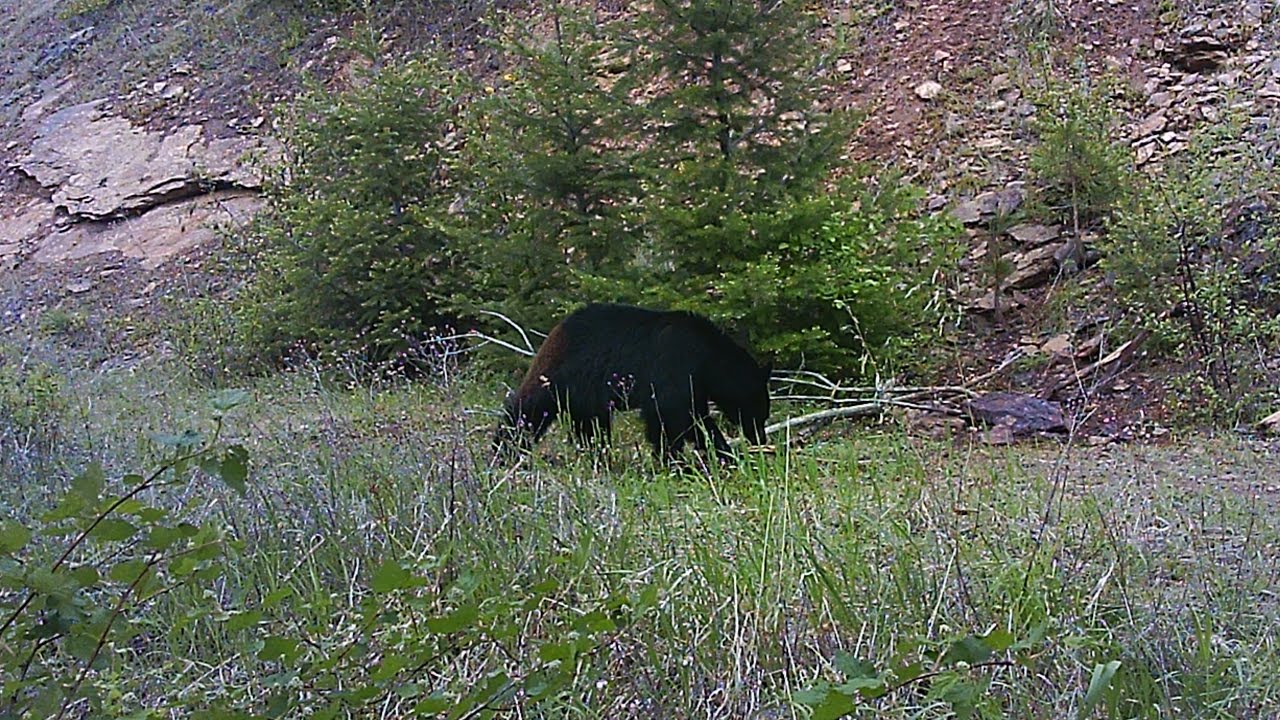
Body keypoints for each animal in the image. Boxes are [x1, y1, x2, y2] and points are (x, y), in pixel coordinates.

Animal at [495, 303, 771, 462]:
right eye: (760, 411)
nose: (760, 438)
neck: (709, 357)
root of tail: (555, 331)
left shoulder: (694, 382)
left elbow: (685, 416)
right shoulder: (675, 365)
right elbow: (675, 414)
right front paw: (679, 458)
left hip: (585, 396)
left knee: (591, 427)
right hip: (561, 375)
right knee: (528, 409)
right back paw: (504, 449)